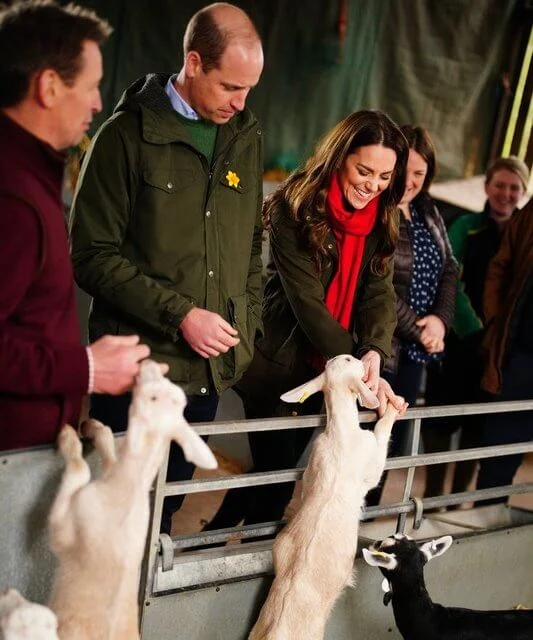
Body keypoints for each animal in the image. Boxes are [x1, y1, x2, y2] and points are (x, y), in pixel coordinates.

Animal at [46, 360, 216, 640]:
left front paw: (67, 437)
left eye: (153, 397)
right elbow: (108, 446)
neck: (130, 486)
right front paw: (92, 428)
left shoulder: (66, 526)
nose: (149, 362)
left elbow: (79, 469)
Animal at [248, 356, 404, 640]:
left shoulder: (312, 466)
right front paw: (391, 408)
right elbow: (380, 440)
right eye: (350, 360)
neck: (340, 433)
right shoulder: (370, 461)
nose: (362, 359)